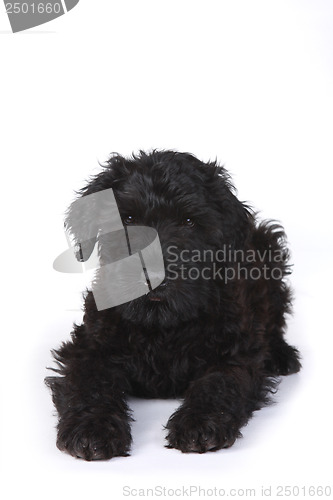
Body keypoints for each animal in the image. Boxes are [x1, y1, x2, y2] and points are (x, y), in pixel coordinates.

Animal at [44, 149, 300, 460]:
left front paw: (199, 424)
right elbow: (89, 384)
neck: (161, 324)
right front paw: (92, 429)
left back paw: (281, 355)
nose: (154, 276)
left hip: (269, 251)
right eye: (128, 218)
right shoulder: (89, 347)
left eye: (188, 222)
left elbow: (218, 384)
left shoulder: (234, 353)